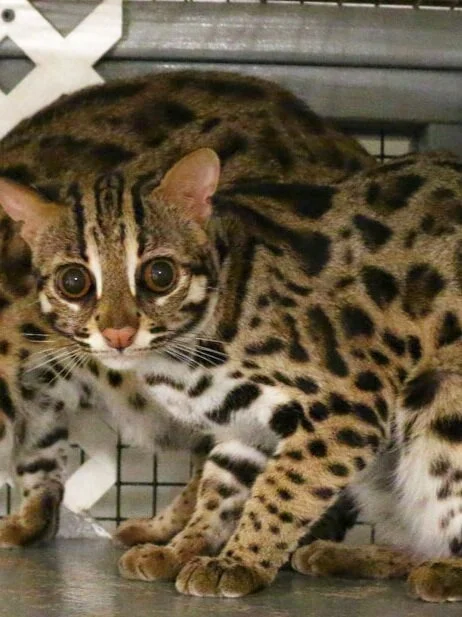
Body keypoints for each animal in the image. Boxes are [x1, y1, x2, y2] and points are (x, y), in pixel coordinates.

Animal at [1, 141, 462, 602]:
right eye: (73, 281)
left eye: (160, 274)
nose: (118, 333)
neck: (181, 362)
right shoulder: (245, 427)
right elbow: (218, 489)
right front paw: (182, 549)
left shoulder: (350, 408)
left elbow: (284, 488)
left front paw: (238, 562)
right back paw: (345, 555)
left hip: (439, 403)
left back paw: (440, 570)